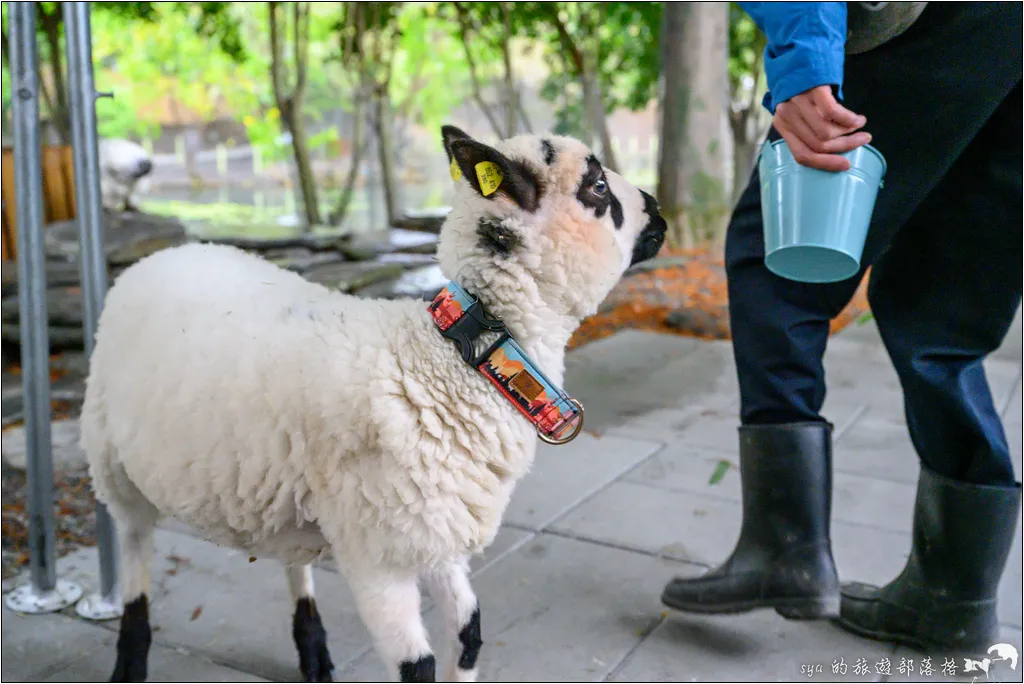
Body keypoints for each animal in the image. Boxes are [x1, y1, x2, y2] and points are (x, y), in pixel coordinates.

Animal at [81, 125, 671, 679]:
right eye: (597, 187)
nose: (660, 211)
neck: (449, 363)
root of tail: (168, 253)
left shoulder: (434, 532)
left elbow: (470, 632)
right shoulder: (380, 557)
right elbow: (419, 666)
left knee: (289, 559)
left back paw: (313, 652)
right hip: (112, 463)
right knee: (134, 549)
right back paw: (130, 658)